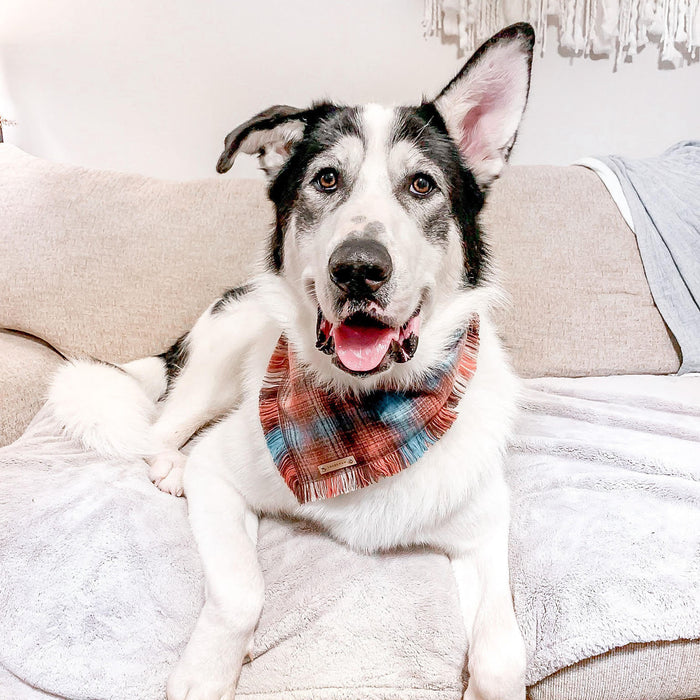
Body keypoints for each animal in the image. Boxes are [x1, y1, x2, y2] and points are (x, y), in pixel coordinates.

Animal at [49, 23, 536, 700]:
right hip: (218, 359)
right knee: (162, 427)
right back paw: (170, 464)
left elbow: (502, 654)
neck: (368, 411)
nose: (358, 268)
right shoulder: (221, 478)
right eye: (326, 180)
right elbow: (241, 594)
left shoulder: (485, 531)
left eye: (422, 185)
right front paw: (207, 672)